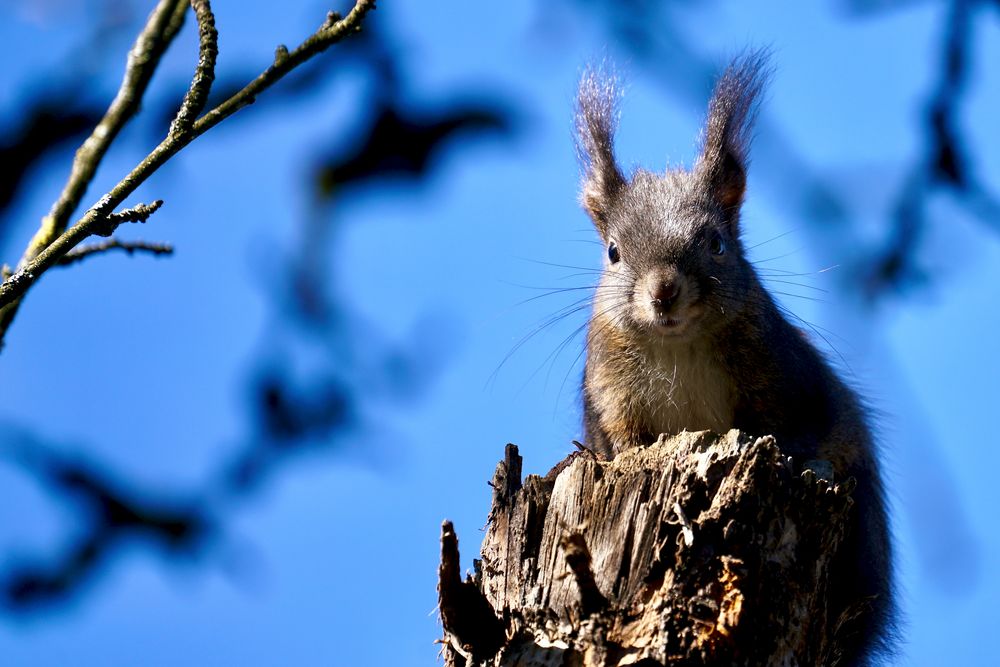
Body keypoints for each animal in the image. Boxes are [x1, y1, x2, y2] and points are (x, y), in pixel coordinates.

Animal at [576, 54, 896, 664]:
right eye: (613, 252)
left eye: (717, 244)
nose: (664, 293)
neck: (677, 346)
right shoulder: (608, 392)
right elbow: (621, 438)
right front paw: (627, 457)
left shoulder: (784, 378)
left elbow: (786, 428)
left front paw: (796, 456)